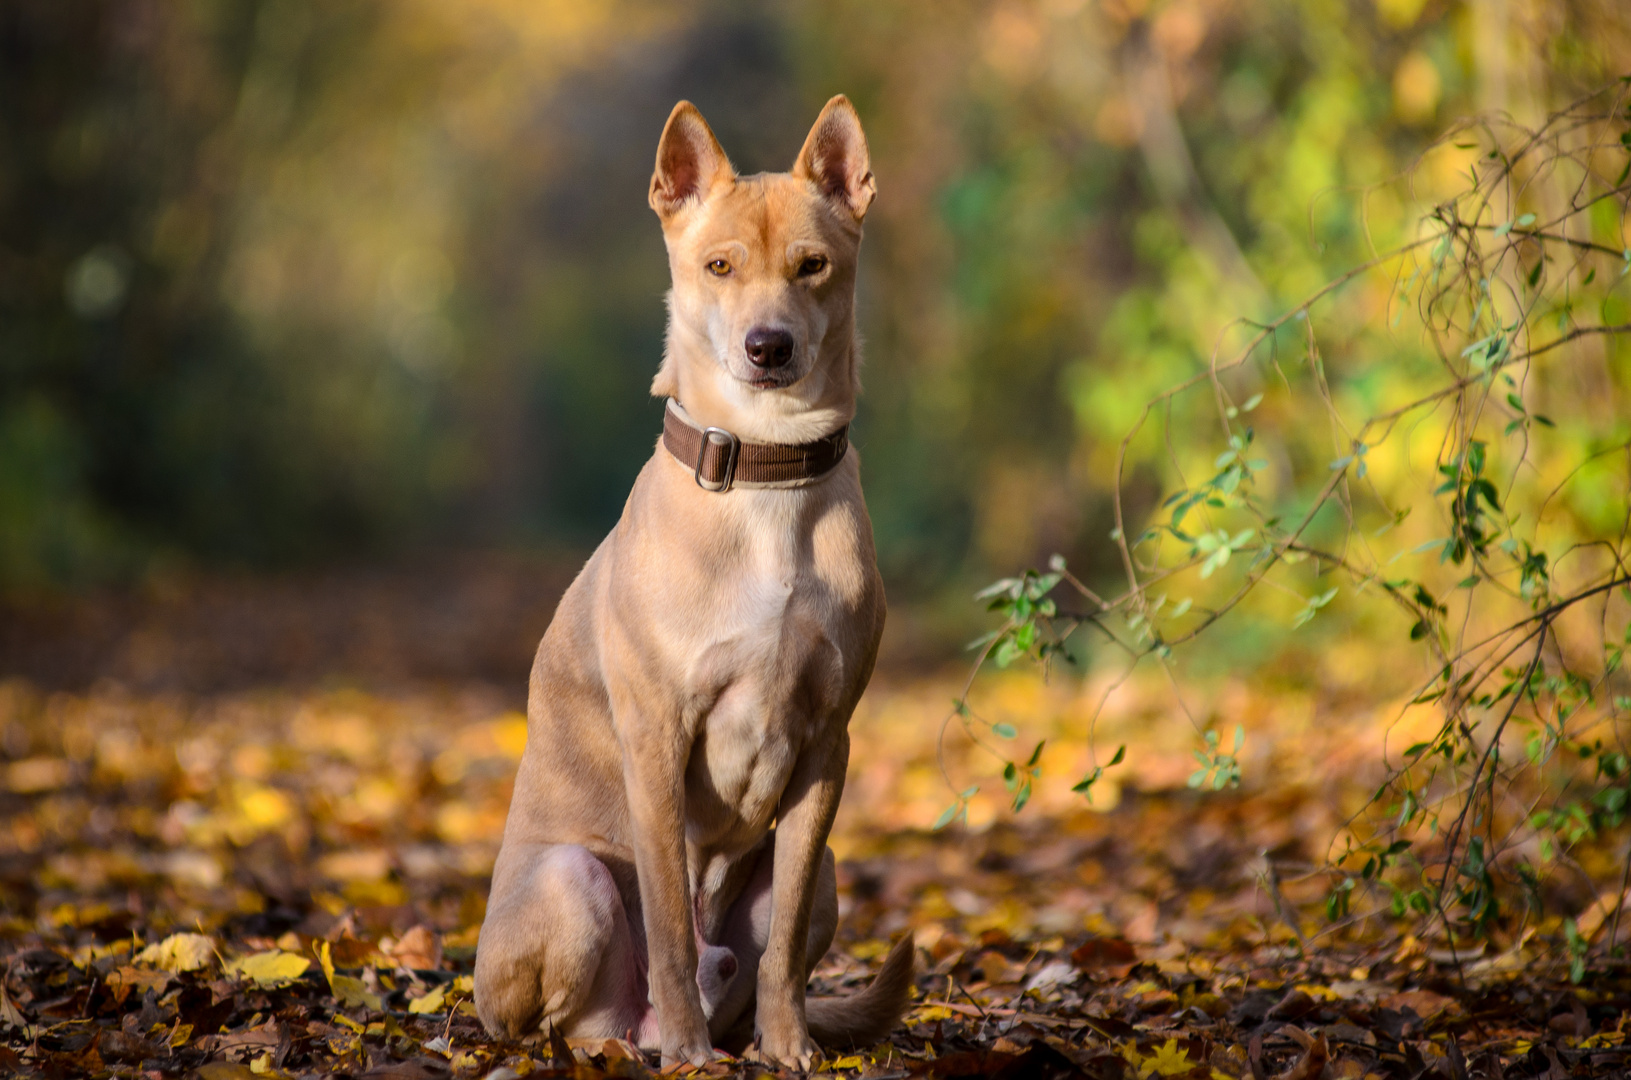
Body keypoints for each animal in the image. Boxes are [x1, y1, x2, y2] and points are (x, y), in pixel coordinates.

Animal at [472, 95, 919, 1076]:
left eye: (813, 266)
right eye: (718, 266)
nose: (768, 347)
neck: (764, 475)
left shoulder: (827, 747)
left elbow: (782, 948)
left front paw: (790, 1046)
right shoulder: (657, 739)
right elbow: (673, 926)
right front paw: (684, 1046)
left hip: (826, 876)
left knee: (757, 960)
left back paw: (732, 1035)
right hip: (571, 880)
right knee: (572, 1018)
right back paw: (644, 1042)